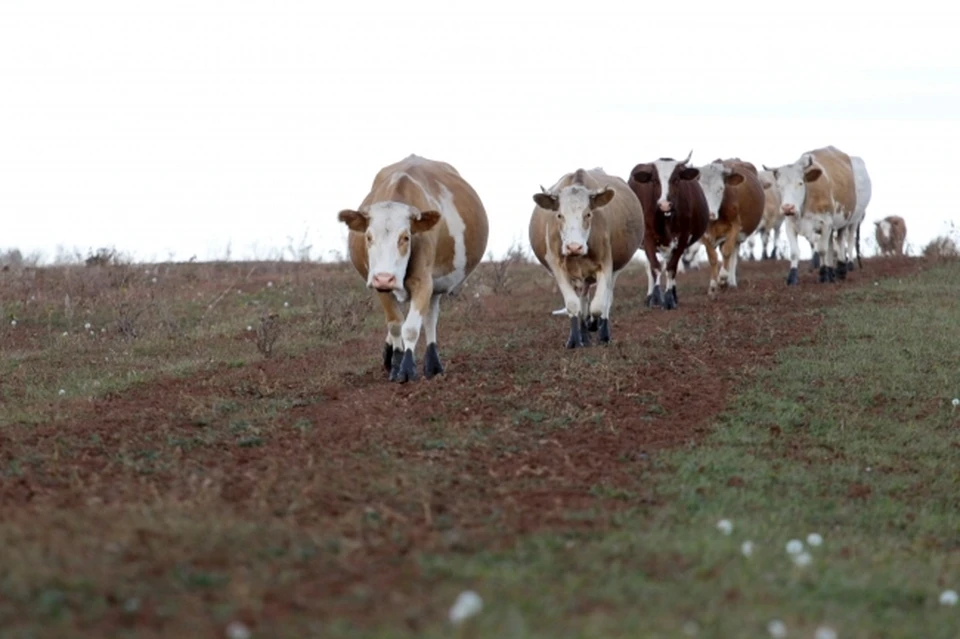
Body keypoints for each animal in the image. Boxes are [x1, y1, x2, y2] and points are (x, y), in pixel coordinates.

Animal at [337, 154, 489, 383]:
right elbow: (395, 324)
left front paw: (407, 368)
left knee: (429, 319)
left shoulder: (424, 282)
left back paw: (433, 363)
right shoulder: (379, 285)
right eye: (369, 237)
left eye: (406, 237)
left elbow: (410, 328)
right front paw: (396, 362)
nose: (385, 277)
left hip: (436, 285)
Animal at [529, 168, 644, 348]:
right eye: (560, 215)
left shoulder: (606, 265)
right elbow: (573, 305)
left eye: (588, 214)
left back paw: (601, 332)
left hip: (614, 271)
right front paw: (574, 340)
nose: (574, 247)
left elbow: (598, 306)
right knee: (582, 301)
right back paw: (583, 335)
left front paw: (595, 325)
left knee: (605, 300)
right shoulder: (558, 268)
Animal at [627, 151, 710, 310]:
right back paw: (650, 296)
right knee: (651, 267)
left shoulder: (683, 237)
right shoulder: (648, 237)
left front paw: (670, 298)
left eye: (676, 179)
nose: (665, 204)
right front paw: (655, 298)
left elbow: (671, 268)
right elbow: (655, 267)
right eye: (654, 180)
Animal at [695, 158, 765, 297]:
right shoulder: (704, 233)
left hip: (737, 236)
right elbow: (712, 257)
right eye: (701, 190)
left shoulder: (736, 227)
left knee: (733, 253)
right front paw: (713, 286)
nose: (710, 214)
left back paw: (730, 282)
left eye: (721, 188)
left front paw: (722, 277)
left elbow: (727, 251)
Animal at [763, 146, 867, 285]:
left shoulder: (826, 223)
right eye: (779, 186)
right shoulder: (790, 225)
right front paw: (792, 277)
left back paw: (840, 270)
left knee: (840, 242)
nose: (787, 207)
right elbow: (794, 252)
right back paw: (831, 271)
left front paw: (824, 275)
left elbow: (822, 250)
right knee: (831, 245)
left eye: (800, 183)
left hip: (845, 222)